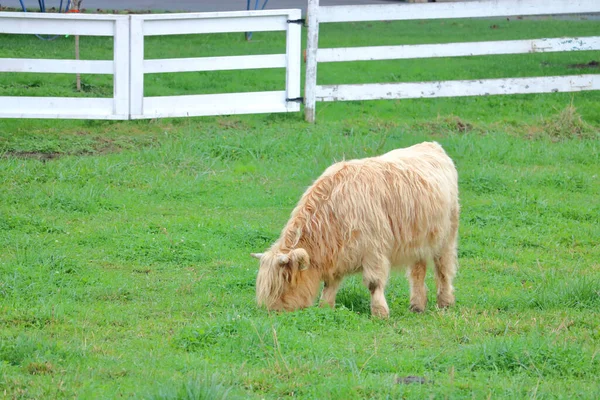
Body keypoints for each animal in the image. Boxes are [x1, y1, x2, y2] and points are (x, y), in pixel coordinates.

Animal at [250, 142, 460, 318]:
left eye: (282, 284)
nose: (273, 311)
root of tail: (431, 145)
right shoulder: (338, 255)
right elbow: (330, 284)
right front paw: (325, 307)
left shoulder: (374, 250)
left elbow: (374, 284)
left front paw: (380, 313)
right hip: (418, 240)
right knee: (418, 271)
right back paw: (417, 305)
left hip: (447, 236)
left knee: (443, 268)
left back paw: (445, 302)